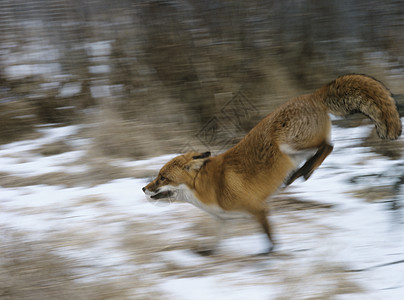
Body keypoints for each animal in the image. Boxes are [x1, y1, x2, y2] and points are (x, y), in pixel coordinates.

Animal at [142, 74, 400, 253]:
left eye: (162, 177)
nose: (143, 188)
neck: (210, 189)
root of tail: (311, 95)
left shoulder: (258, 208)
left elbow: (269, 236)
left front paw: (269, 255)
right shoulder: (224, 220)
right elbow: (216, 244)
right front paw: (207, 254)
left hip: (288, 145)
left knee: (328, 145)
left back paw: (303, 172)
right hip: (294, 148)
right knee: (326, 147)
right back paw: (301, 172)